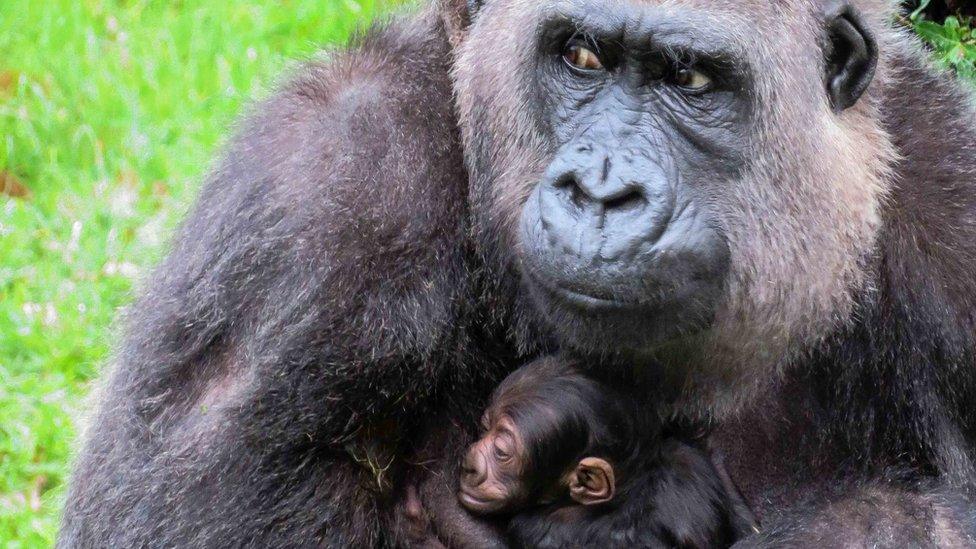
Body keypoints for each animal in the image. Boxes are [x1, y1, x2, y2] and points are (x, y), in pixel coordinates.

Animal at [458, 358, 756, 544]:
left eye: (501, 452)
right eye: (484, 427)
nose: (469, 464)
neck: (631, 486)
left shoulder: (536, 528)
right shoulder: (688, 460)